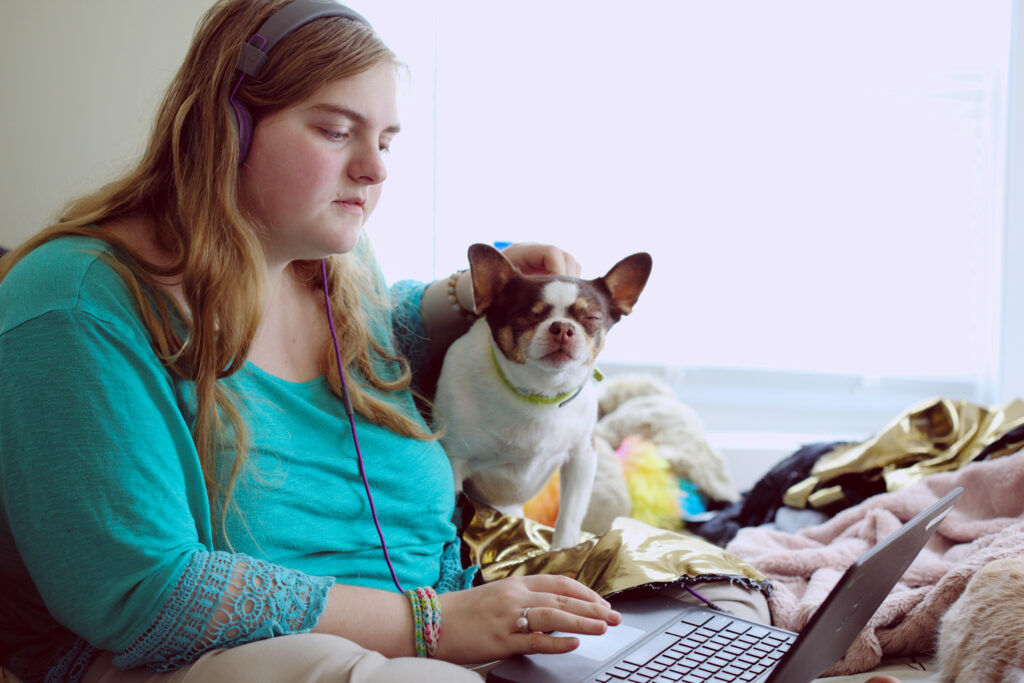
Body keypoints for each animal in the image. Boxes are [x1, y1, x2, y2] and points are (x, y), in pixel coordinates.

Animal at [436, 242, 651, 548]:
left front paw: (562, 550)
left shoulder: (582, 457)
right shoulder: (455, 461)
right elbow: (452, 519)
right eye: (527, 315)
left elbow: (570, 515)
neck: (540, 395)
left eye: (592, 318)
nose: (563, 327)